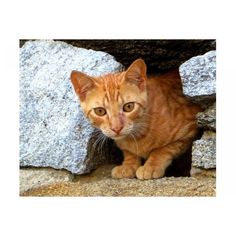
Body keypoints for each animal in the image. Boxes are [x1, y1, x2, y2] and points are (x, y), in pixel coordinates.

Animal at [70, 59, 201, 179]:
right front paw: (128, 165)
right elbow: (129, 152)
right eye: (100, 111)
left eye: (128, 107)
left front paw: (151, 166)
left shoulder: (189, 129)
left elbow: (163, 149)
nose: (116, 128)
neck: (139, 135)